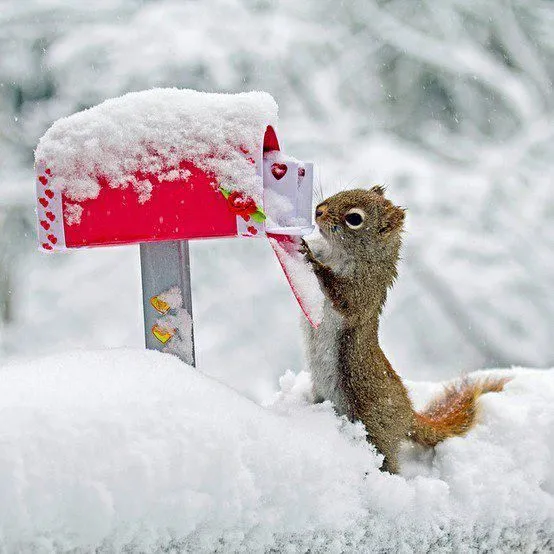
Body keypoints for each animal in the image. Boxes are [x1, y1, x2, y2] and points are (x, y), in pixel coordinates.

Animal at [300, 188, 506, 472]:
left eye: (354, 219)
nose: (318, 210)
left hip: (375, 426)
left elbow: (343, 297)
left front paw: (312, 260)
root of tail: (408, 415)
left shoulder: (364, 291)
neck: (337, 252)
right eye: (344, 191)